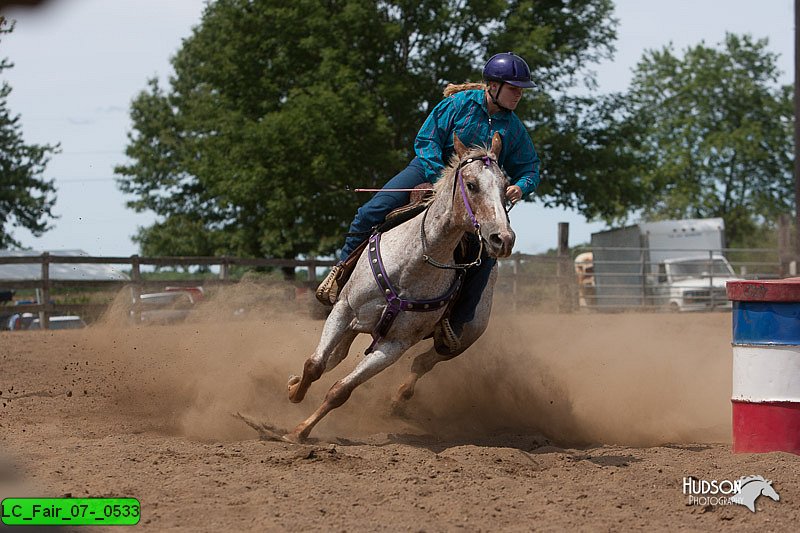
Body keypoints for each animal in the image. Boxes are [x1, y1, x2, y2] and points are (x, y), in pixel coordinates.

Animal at [284, 131, 516, 442]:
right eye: (471, 185)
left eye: (505, 187)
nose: (503, 239)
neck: (411, 265)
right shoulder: (343, 311)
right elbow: (315, 364)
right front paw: (295, 393)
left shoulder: (395, 345)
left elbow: (340, 390)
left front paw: (299, 431)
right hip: (353, 322)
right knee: (335, 357)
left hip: (462, 339)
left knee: (422, 363)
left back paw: (398, 402)